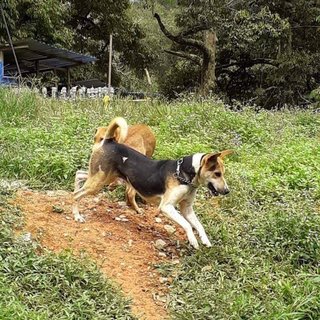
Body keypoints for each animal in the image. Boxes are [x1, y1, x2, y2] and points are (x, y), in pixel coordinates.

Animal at [72, 116, 232, 249]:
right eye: (217, 174)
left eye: (223, 173)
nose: (227, 191)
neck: (184, 174)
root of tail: (108, 140)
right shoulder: (167, 207)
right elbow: (187, 225)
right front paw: (193, 240)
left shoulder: (187, 209)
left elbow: (199, 225)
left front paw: (205, 240)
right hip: (99, 181)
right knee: (76, 195)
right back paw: (77, 215)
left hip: (104, 177)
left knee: (79, 174)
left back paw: (75, 190)